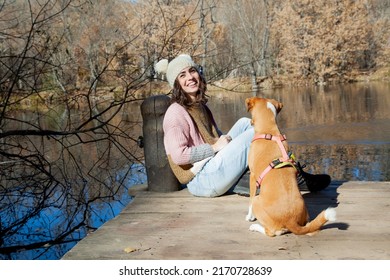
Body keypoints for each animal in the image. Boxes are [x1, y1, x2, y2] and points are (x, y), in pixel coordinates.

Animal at [247, 97, 336, 236]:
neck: (269, 132)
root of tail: (291, 220)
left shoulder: (252, 176)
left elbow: (250, 201)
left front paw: (249, 217)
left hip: (258, 201)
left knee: (272, 232)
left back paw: (255, 227)